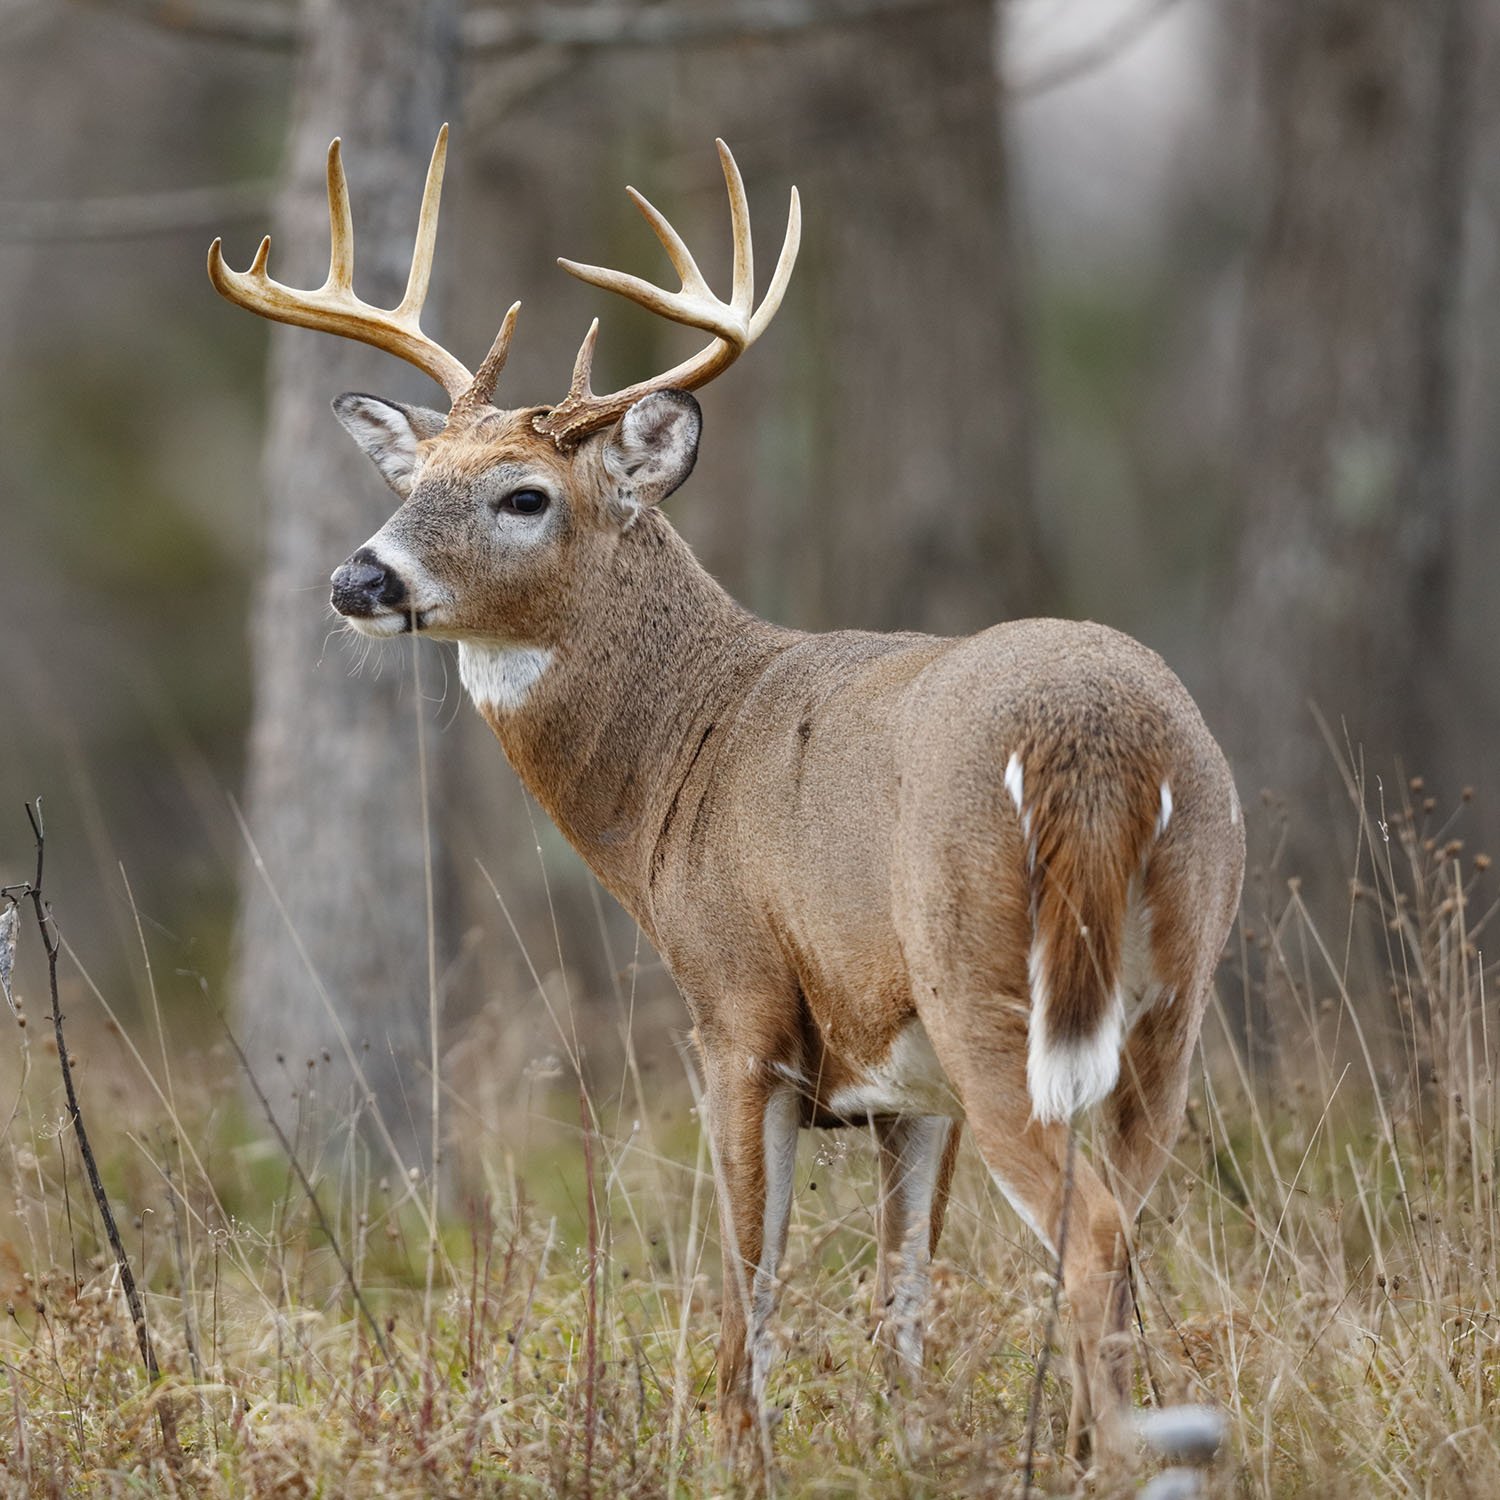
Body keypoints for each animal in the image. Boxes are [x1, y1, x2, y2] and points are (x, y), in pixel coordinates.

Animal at [208, 129, 1242, 1464]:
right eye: (414, 475)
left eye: (524, 494)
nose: (355, 579)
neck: (682, 762)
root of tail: (1099, 738)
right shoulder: (907, 1086)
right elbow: (902, 1299)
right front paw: (902, 1449)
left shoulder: (737, 1002)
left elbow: (749, 1272)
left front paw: (736, 1450)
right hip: (1172, 992)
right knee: (1130, 1216)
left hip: (986, 979)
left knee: (1096, 1233)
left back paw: (1113, 1458)